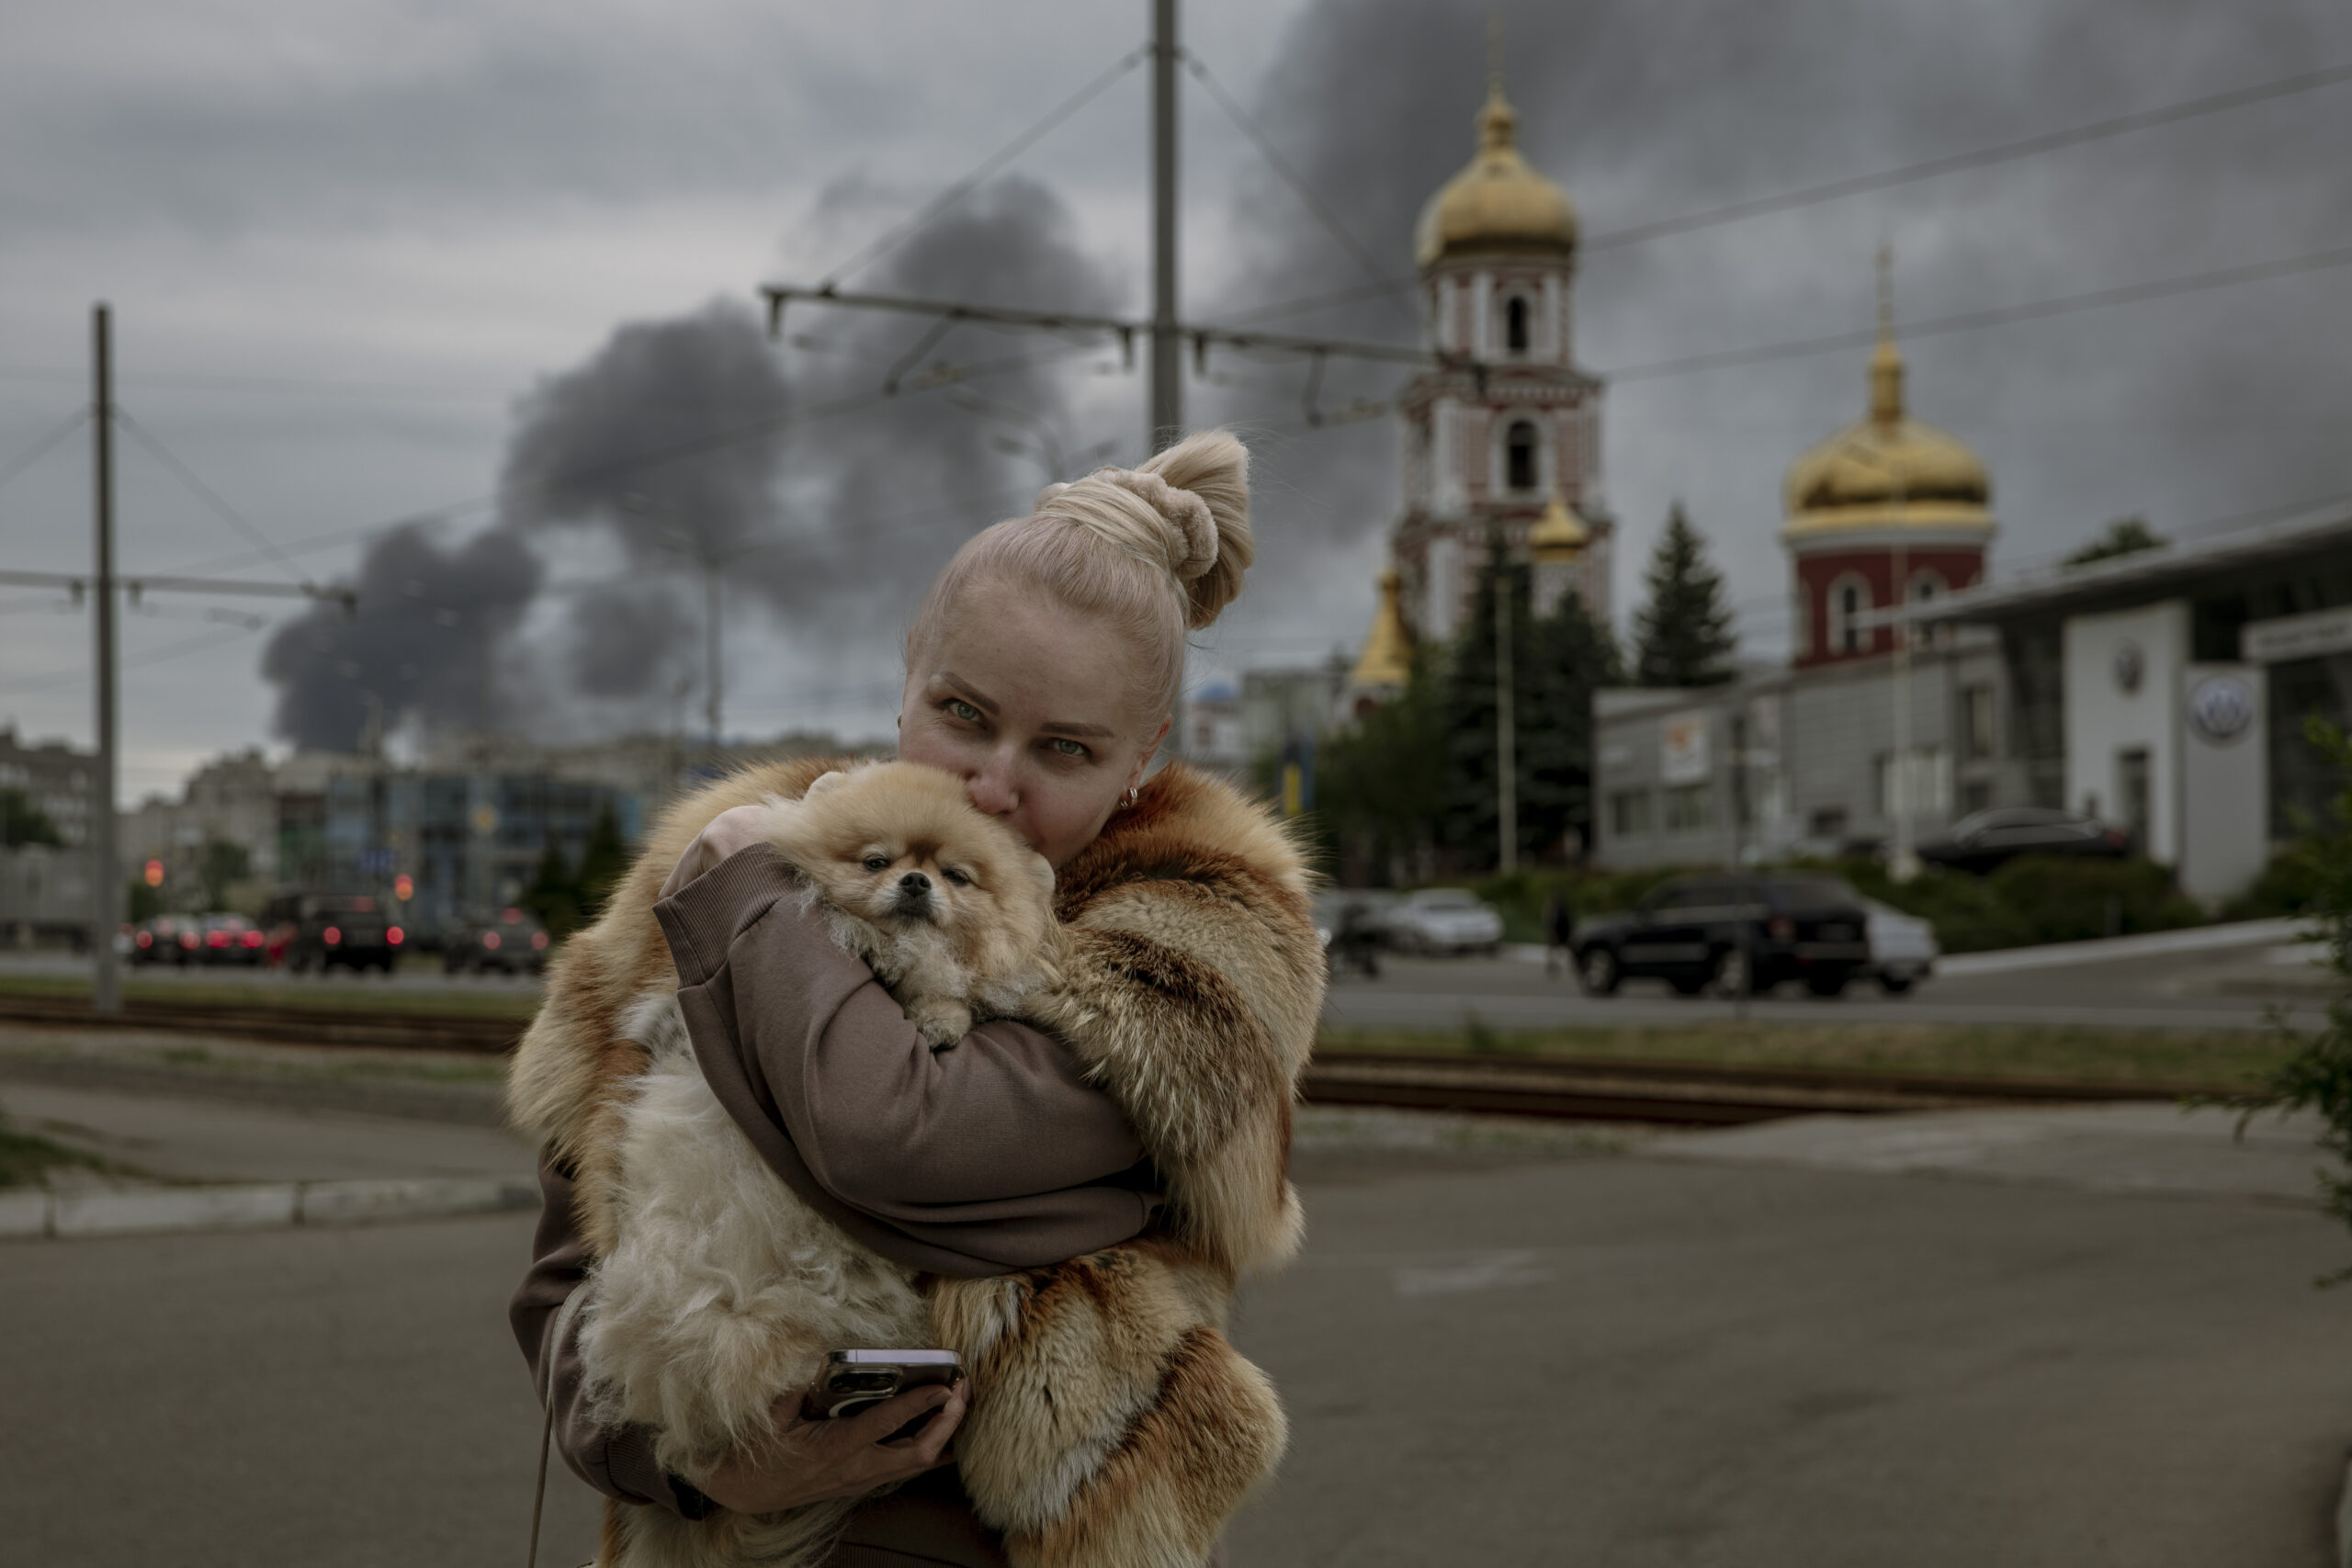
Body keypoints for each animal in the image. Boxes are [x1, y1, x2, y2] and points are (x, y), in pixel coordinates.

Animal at [578, 761, 1068, 1568]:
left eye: (957, 876)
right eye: (876, 861)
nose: (915, 883)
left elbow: (954, 992)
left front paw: (939, 1015)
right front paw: (878, 957)